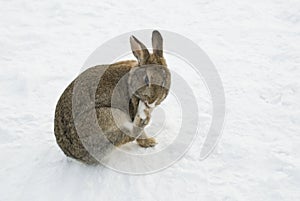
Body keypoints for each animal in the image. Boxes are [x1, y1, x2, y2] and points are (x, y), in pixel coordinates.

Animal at [54, 30, 171, 164]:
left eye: (165, 80)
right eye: (146, 79)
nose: (152, 100)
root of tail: (74, 154)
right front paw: (148, 142)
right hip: (110, 115)